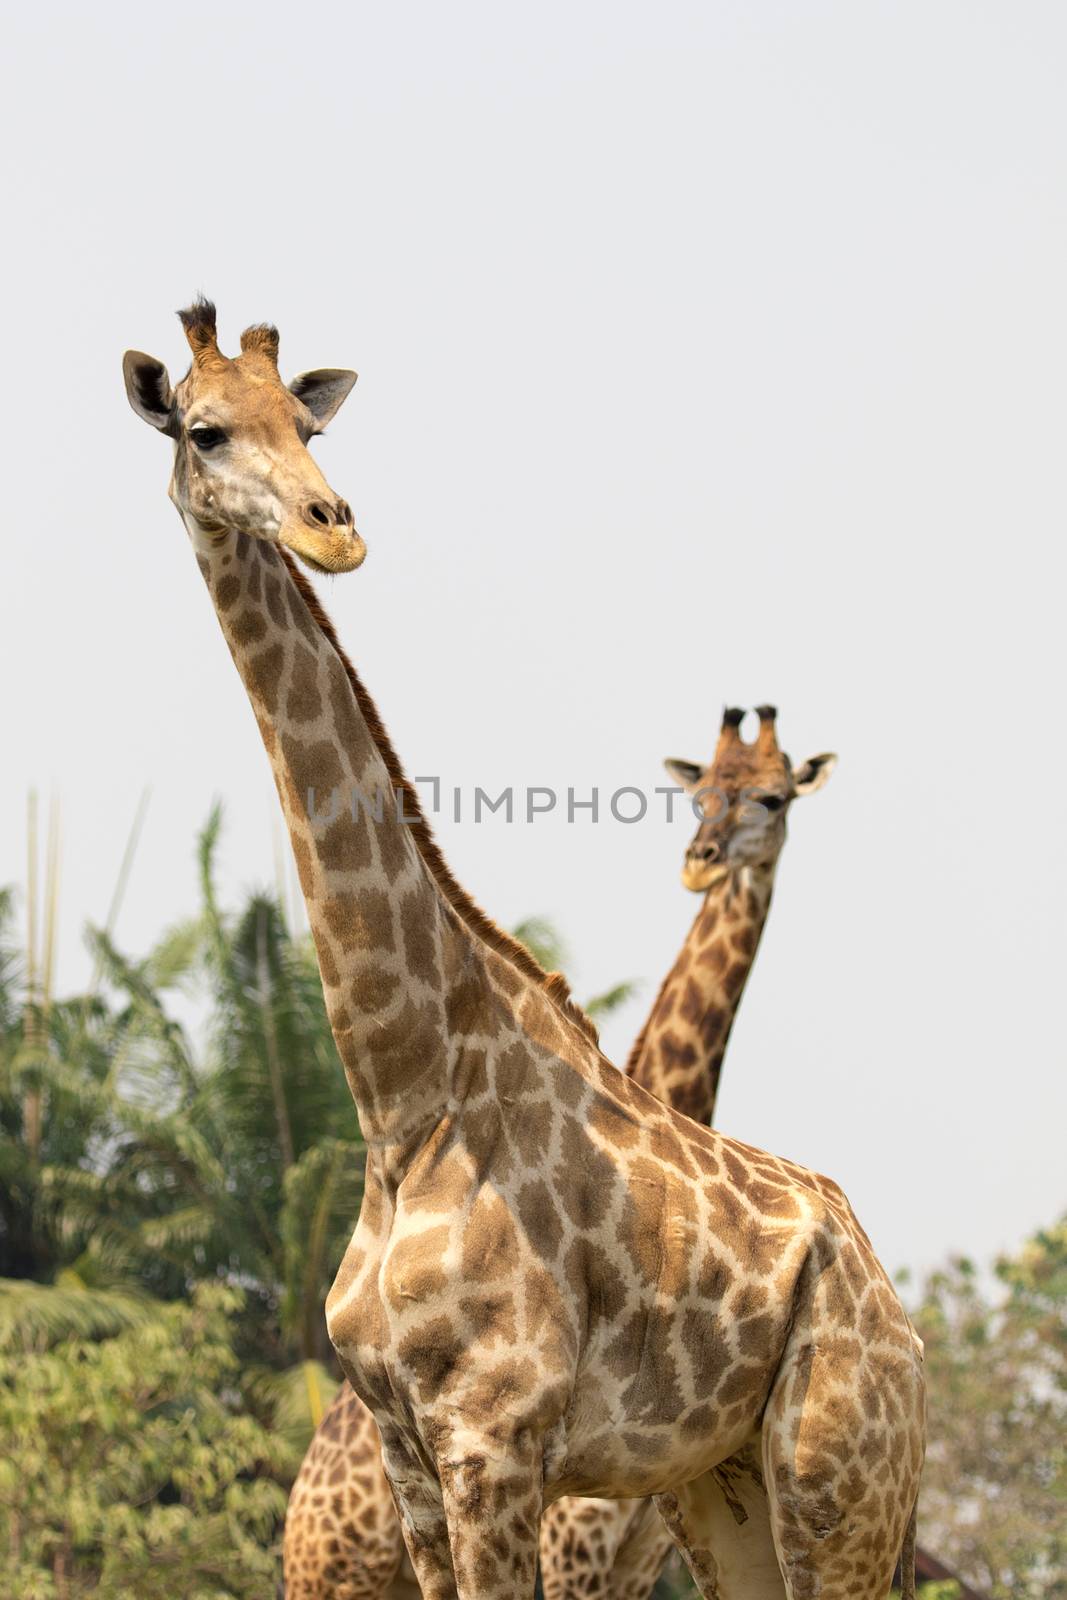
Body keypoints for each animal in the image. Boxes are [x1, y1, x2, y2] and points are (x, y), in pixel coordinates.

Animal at [287, 704, 838, 1600]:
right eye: (700, 798)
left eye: (771, 797)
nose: (701, 862)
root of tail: (295, 1511)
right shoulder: (570, 1542)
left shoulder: (640, 1553)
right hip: (337, 1575)